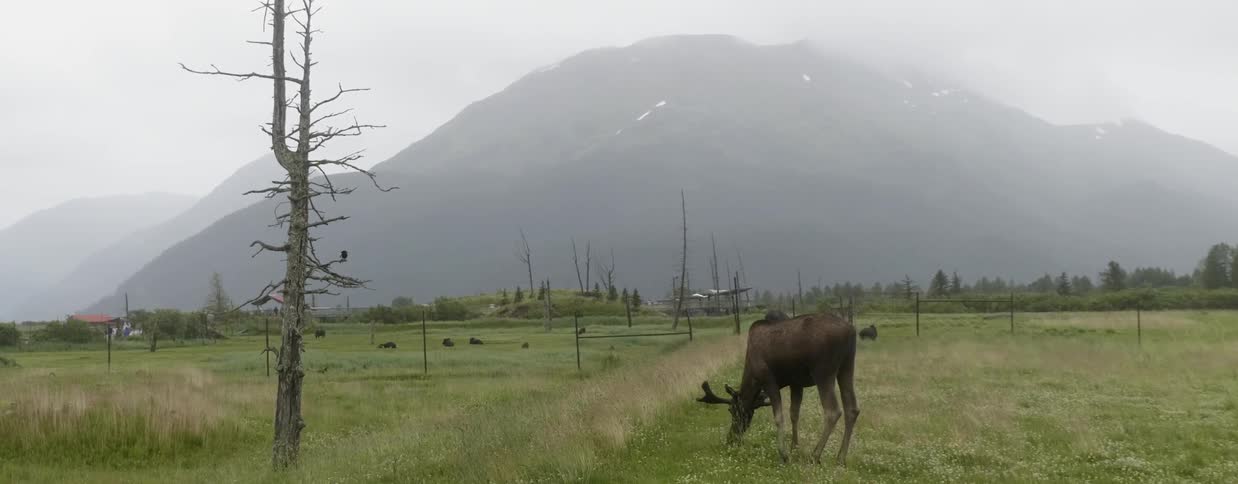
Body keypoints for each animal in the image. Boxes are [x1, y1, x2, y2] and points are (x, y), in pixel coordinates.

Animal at [697, 311, 859, 465]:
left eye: (732, 410)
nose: (731, 439)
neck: (752, 376)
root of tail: (851, 331)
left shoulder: (768, 379)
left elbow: (779, 417)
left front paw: (784, 454)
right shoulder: (796, 383)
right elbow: (794, 414)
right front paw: (794, 448)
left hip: (823, 371)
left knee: (833, 411)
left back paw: (815, 455)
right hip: (846, 366)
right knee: (852, 409)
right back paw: (840, 458)